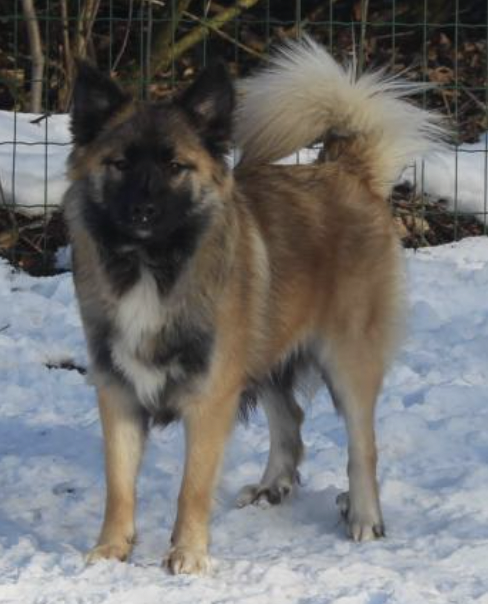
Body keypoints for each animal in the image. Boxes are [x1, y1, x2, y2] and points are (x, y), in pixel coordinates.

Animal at [63, 39, 444, 576]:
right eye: (120, 164)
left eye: (176, 166)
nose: (143, 211)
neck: (153, 267)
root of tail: (346, 168)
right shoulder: (118, 390)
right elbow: (119, 485)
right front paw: (111, 550)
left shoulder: (211, 397)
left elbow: (192, 488)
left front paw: (187, 554)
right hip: (265, 347)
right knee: (291, 419)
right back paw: (272, 486)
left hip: (347, 360)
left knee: (362, 447)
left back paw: (364, 516)